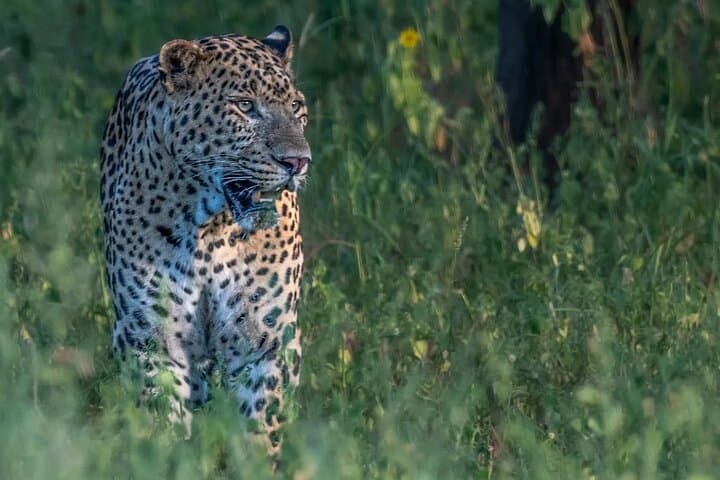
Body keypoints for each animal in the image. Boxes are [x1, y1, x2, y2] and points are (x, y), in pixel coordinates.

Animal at [99, 25, 311, 457]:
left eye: (297, 107)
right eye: (245, 106)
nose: (298, 162)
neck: (213, 230)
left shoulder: (265, 341)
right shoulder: (153, 339)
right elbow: (161, 417)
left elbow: (261, 420)